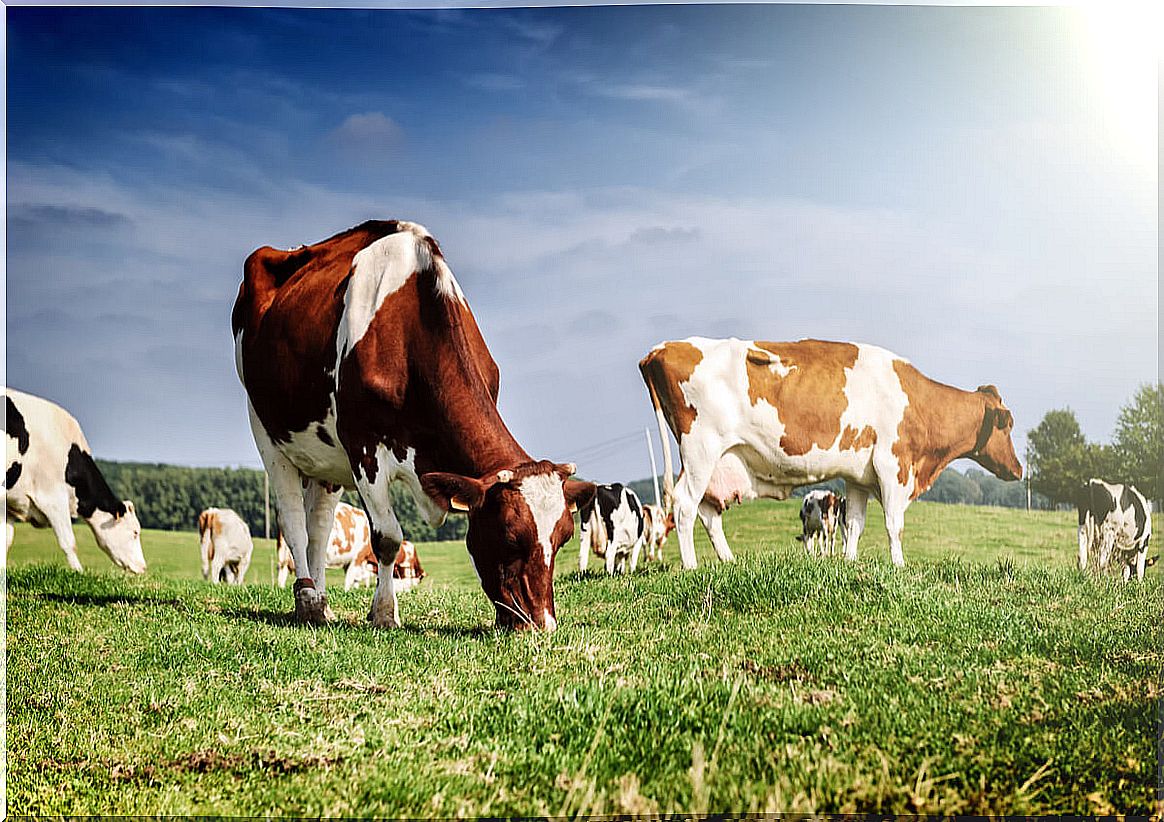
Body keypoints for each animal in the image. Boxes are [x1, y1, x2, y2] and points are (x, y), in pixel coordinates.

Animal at [3, 388, 146, 570]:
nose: (144, 567)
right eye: (135, 532)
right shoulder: (53, 498)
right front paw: (79, 572)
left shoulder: (11, 504)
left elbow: (5, 541)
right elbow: (69, 542)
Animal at [231, 221, 595, 624]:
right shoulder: (363, 447)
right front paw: (385, 613)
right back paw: (308, 598)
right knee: (293, 517)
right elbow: (388, 537)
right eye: (509, 535)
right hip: (264, 428)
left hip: (324, 456)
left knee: (320, 526)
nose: (542, 625)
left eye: (563, 537)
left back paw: (322, 603)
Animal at [642, 335, 1024, 565]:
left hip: (717, 459)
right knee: (686, 505)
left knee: (708, 511)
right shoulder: (893, 465)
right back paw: (692, 567)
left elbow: (854, 524)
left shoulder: (858, 475)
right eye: (1007, 423)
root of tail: (662, 348)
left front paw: (849, 563)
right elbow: (894, 524)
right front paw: (899, 566)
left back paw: (730, 562)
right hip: (701, 449)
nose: (1019, 470)